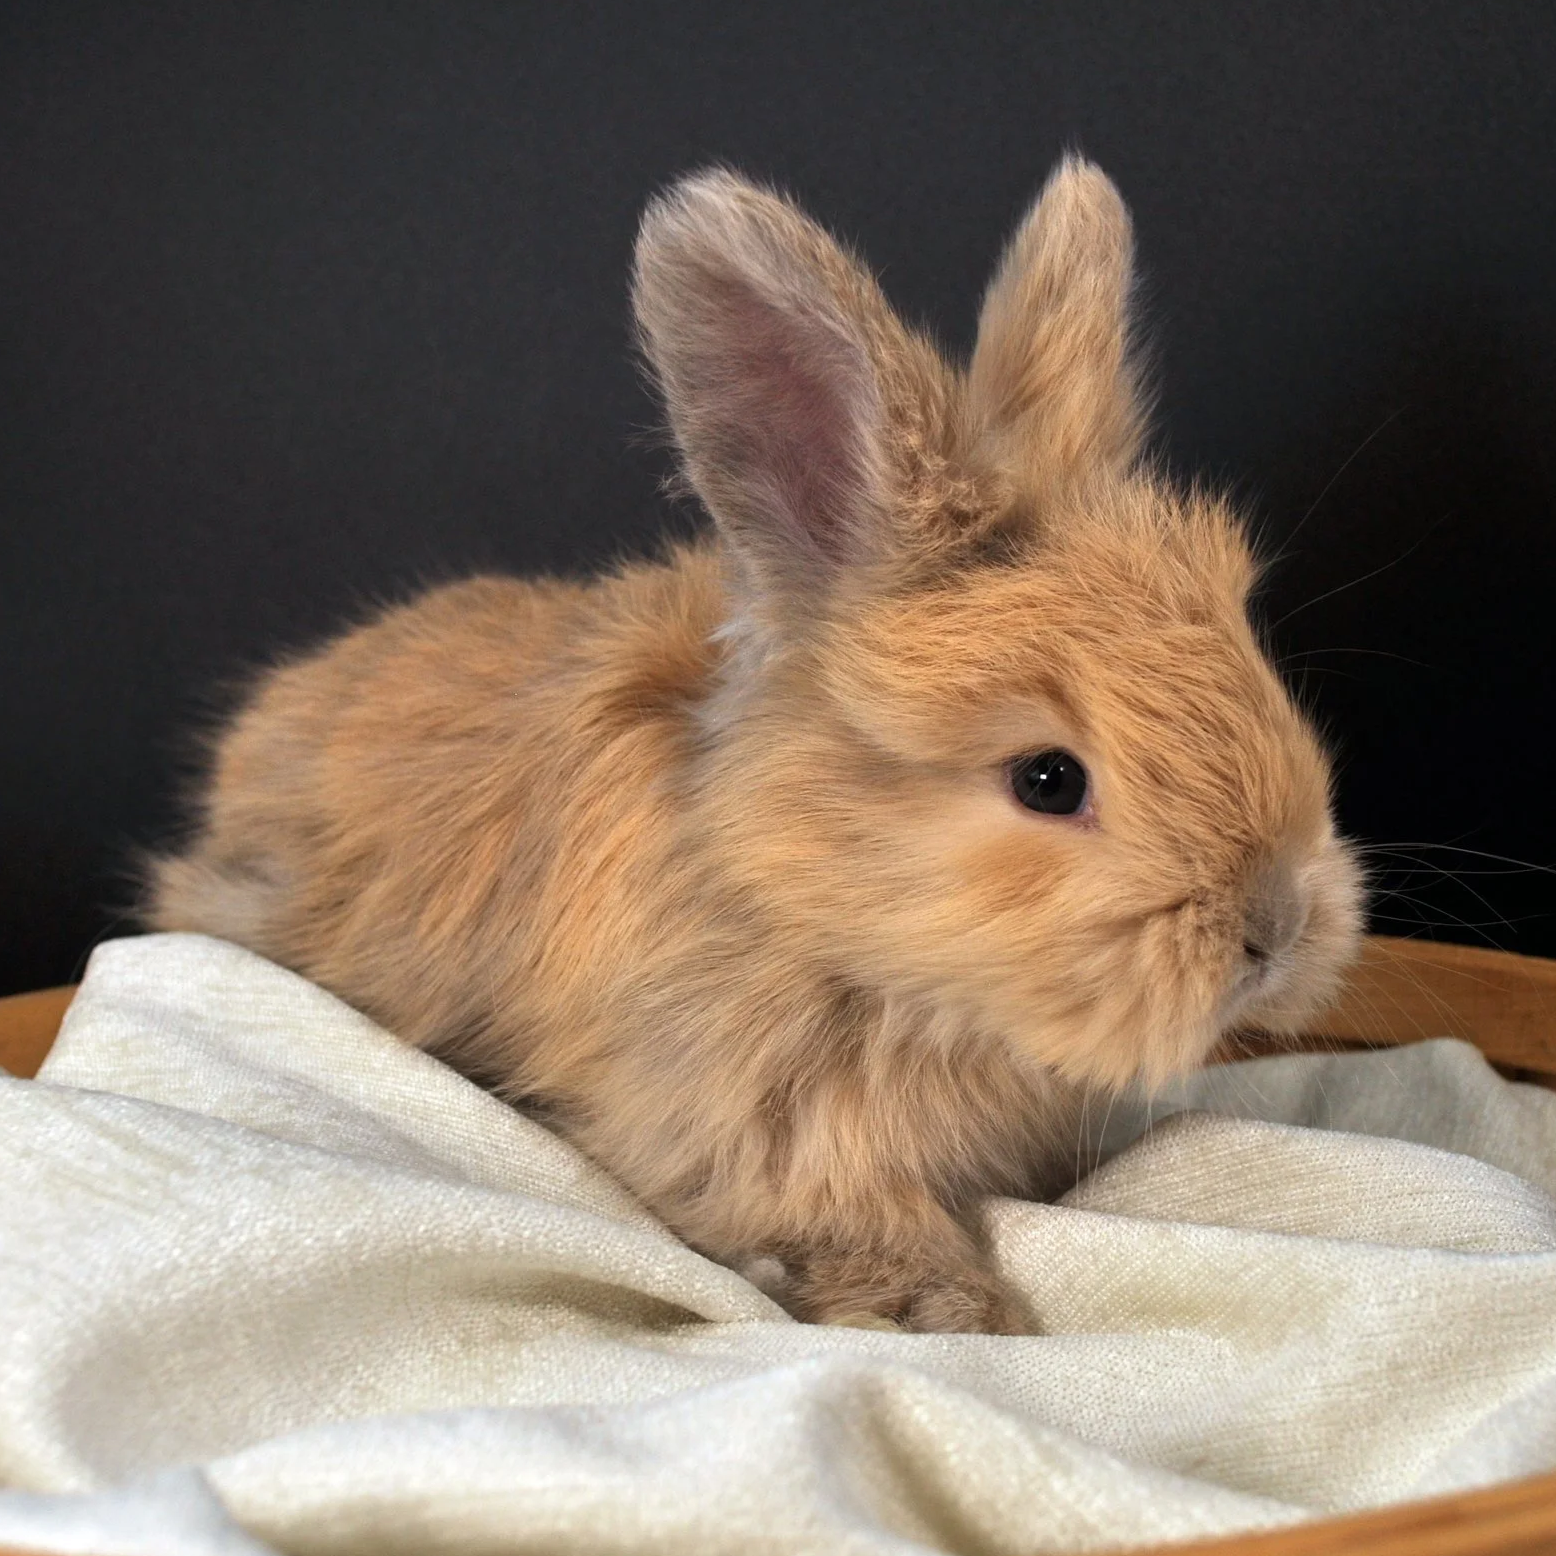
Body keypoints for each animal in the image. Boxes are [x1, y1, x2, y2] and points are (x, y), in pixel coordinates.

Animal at [148, 158, 1365, 1333]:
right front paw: (947, 1305)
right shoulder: (748, 1122)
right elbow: (832, 1214)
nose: (1274, 929)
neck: (806, 892)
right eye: (1048, 780)